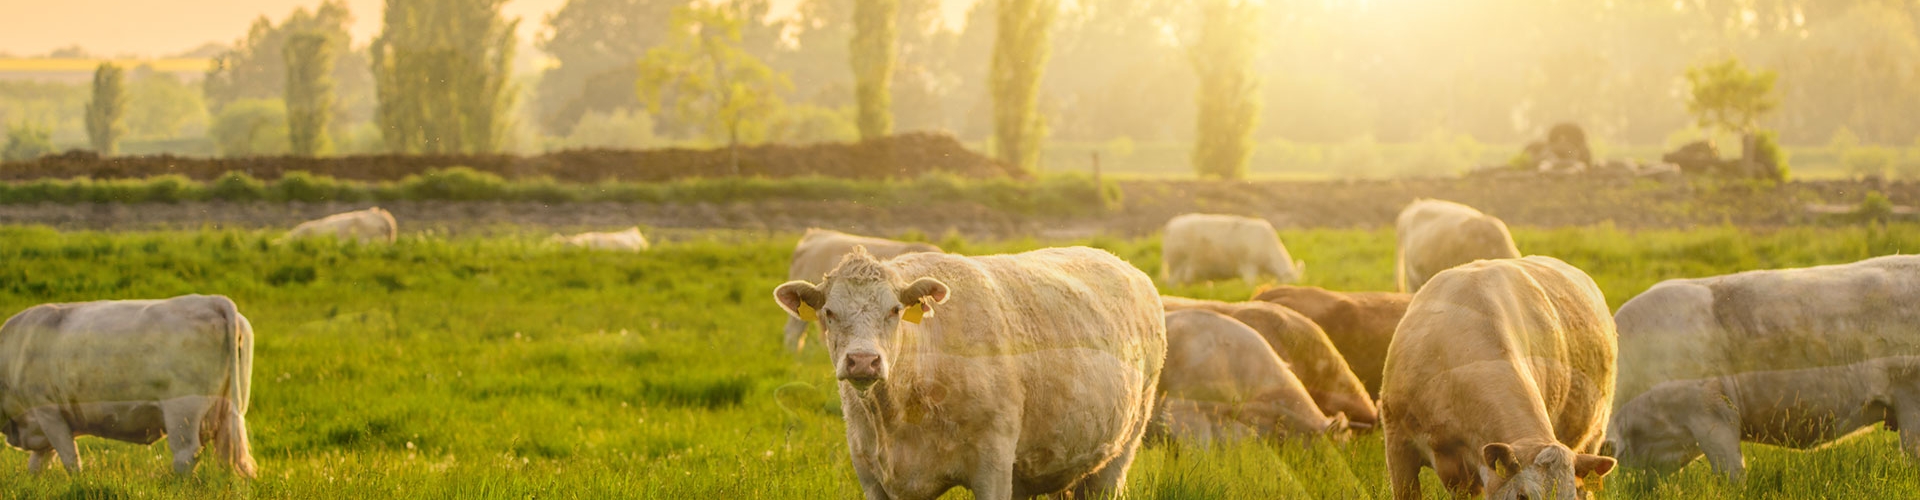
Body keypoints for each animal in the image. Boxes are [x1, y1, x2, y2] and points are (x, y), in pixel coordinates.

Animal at [0, 294, 257, 478]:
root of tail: (211, 300)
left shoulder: (47, 411)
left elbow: (69, 459)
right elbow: (38, 463)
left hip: (182, 408)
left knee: (186, 454)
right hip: (229, 409)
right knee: (228, 454)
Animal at [772, 246, 1165, 499]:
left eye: (895, 310)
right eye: (829, 313)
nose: (863, 360)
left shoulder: (993, 467)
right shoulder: (871, 474)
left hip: (1120, 451)